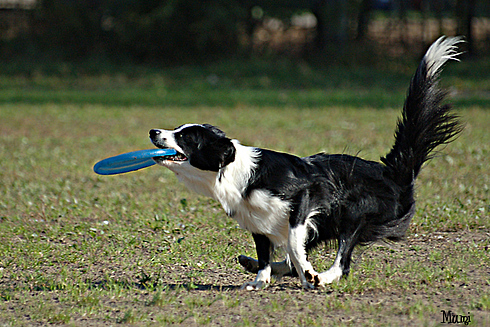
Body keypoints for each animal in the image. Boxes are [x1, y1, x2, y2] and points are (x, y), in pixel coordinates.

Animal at [149, 37, 464, 290]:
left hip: (353, 213)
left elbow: (292, 242)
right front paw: (260, 280)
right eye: (177, 128)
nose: (153, 131)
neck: (235, 172)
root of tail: (391, 172)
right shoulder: (258, 222)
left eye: (186, 137)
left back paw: (321, 277)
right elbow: (267, 254)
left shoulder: (304, 196)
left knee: (342, 262)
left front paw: (307, 273)